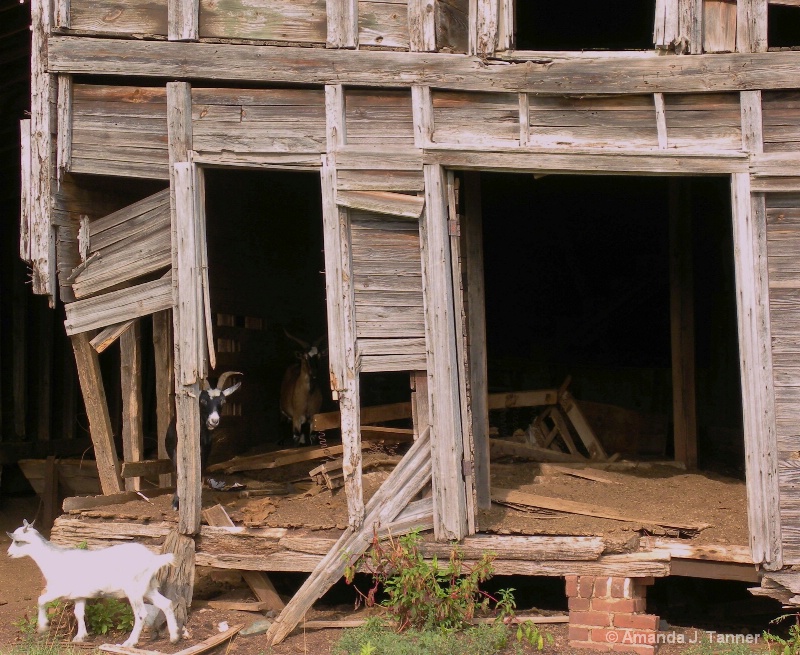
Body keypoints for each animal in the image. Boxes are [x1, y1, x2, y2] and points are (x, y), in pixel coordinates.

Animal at [5, 520, 180, 648]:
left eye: (18, 541)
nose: (8, 553)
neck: (53, 559)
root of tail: (153, 559)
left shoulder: (59, 589)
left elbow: (41, 600)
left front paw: (42, 626)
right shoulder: (79, 594)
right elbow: (79, 613)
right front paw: (80, 636)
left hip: (134, 590)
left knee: (141, 614)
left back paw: (130, 643)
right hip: (148, 588)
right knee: (167, 603)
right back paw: (174, 637)